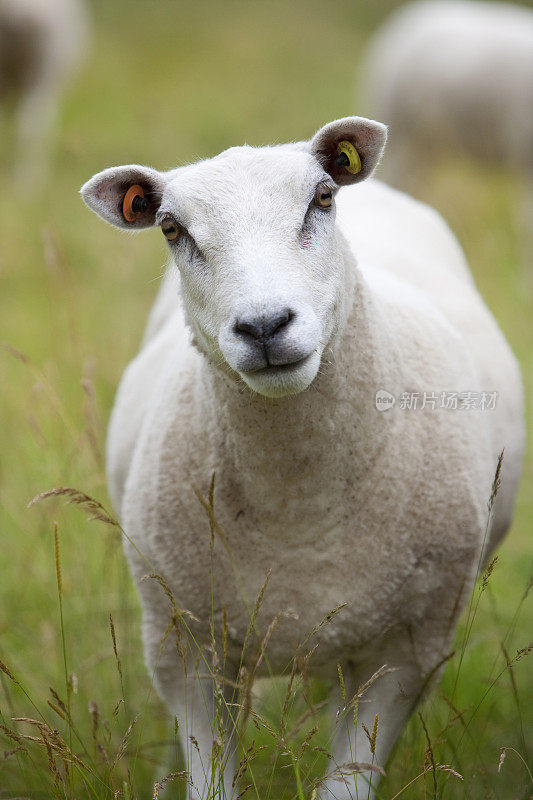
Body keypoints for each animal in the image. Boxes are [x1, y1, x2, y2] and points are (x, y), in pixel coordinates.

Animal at [82, 115, 524, 796]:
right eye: (171, 228)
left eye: (321, 198)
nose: (264, 325)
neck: (299, 512)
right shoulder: (185, 647)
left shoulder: (406, 653)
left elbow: (345, 781)